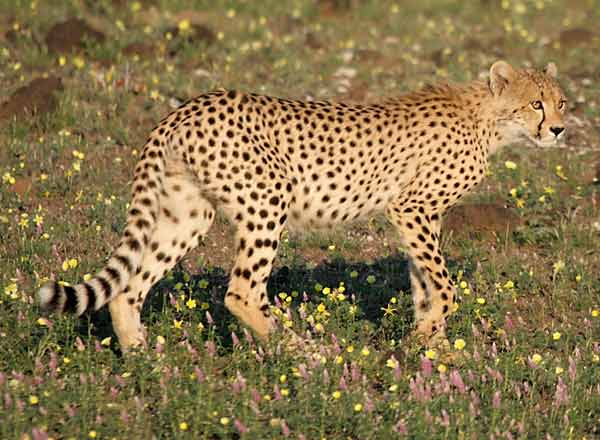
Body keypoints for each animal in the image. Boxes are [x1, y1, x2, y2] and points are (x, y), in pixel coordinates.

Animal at [38, 61, 568, 350]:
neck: (488, 119)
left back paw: (146, 361)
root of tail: (188, 106)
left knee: (129, 287)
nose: (560, 129)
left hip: (187, 212)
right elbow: (444, 286)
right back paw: (300, 353)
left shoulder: (421, 216)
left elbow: (425, 284)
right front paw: (423, 343)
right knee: (241, 291)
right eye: (535, 104)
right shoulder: (411, 208)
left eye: (561, 102)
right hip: (266, 200)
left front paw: (434, 351)